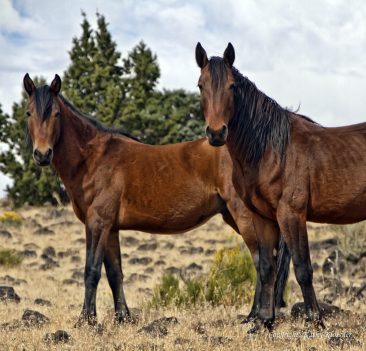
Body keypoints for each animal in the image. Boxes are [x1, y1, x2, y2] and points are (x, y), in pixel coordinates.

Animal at [23, 73, 292, 328]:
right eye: (29, 113)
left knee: (262, 261)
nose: (42, 154)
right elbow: (114, 273)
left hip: (244, 216)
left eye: (56, 113)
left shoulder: (97, 223)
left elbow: (91, 271)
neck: (93, 158)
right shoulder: (110, 228)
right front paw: (122, 318)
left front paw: (86, 320)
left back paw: (256, 317)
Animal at [194, 42, 366, 332]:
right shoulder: (263, 217)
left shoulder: (291, 214)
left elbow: (302, 268)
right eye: (200, 85)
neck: (271, 149)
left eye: (232, 86)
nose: (216, 133)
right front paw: (263, 322)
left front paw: (315, 320)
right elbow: (266, 267)